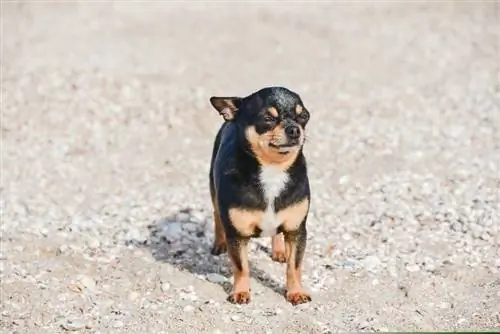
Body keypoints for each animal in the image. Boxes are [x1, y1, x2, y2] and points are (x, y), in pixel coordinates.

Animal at [208, 86, 310, 306]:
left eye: (304, 116)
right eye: (267, 119)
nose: (294, 129)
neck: (273, 169)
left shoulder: (296, 231)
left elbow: (294, 267)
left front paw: (296, 292)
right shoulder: (237, 235)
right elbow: (241, 267)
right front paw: (240, 292)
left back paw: (279, 251)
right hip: (213, 189)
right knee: (217, 215)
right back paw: (219, 243)